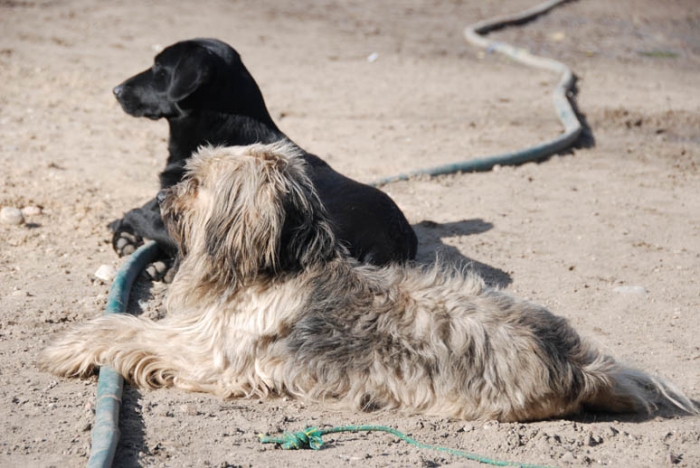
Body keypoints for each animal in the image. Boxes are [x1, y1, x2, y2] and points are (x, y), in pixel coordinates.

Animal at [39, 143, 697, 421]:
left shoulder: (208, 353)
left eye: (196, 181)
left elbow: (128, 329)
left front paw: (73, 344)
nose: (161, 199)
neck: (275, 265)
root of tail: (582, 364)